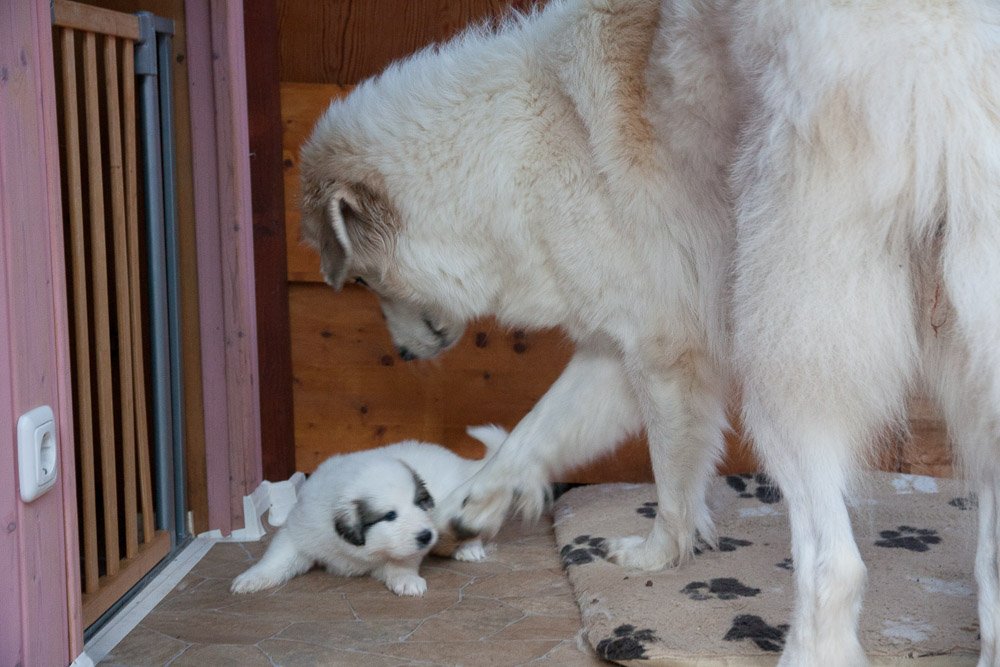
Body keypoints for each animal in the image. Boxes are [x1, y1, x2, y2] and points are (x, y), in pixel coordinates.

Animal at [229, 428, 504, 600]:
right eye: (390, 515)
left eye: (419, 504)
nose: (427, 536)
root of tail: (462, 463)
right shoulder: (301, 530)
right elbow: (277, 558)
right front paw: (250, 579)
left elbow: (401, 561)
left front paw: (407, 581)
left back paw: (468, 548)